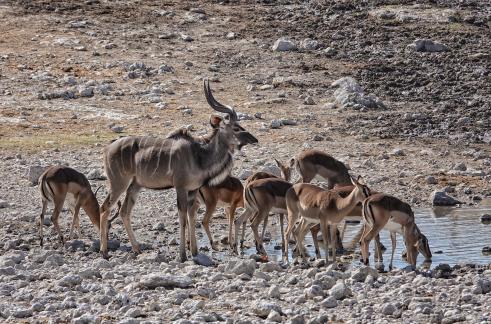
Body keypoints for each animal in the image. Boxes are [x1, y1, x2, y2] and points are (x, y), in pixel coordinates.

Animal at [100, 81, 262, 260]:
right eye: (235, 128)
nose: (254, 139)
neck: (199, 155)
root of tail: (107, 149)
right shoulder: (180, 188)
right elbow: (183, 218)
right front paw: (183, 255)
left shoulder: (193, 190)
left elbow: (192, 216)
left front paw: (195, 252)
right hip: (119, 183)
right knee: (105, 208)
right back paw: (104, 251)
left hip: (135, 185)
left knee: (124, 211)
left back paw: (136, 249)